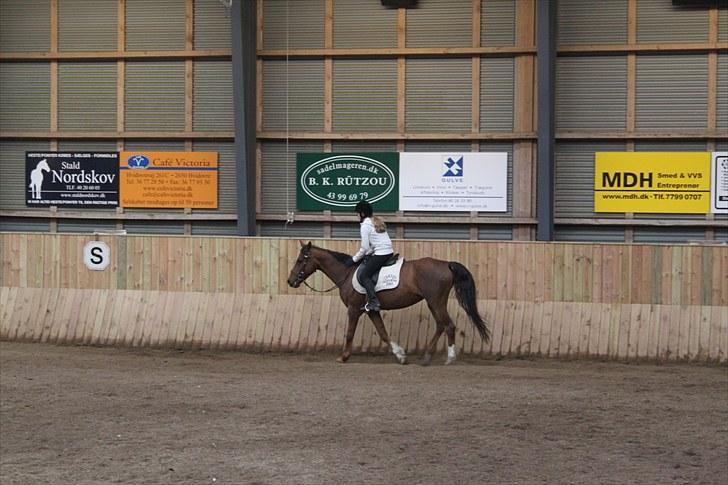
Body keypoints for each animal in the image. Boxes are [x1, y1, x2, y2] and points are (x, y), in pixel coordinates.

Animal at [286, 240, 490, 364]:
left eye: (300, 260)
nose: (290, 281)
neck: (347, 273)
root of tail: (446, 264)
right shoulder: (371, 310)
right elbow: (383, 333)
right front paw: (400, 355)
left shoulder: (353, 309)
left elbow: (350, 333)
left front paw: (343, 357)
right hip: (434, 302)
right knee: (442, 325)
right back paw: (428, 356)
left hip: (435, 301)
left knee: (447, 325)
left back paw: (447, 357)